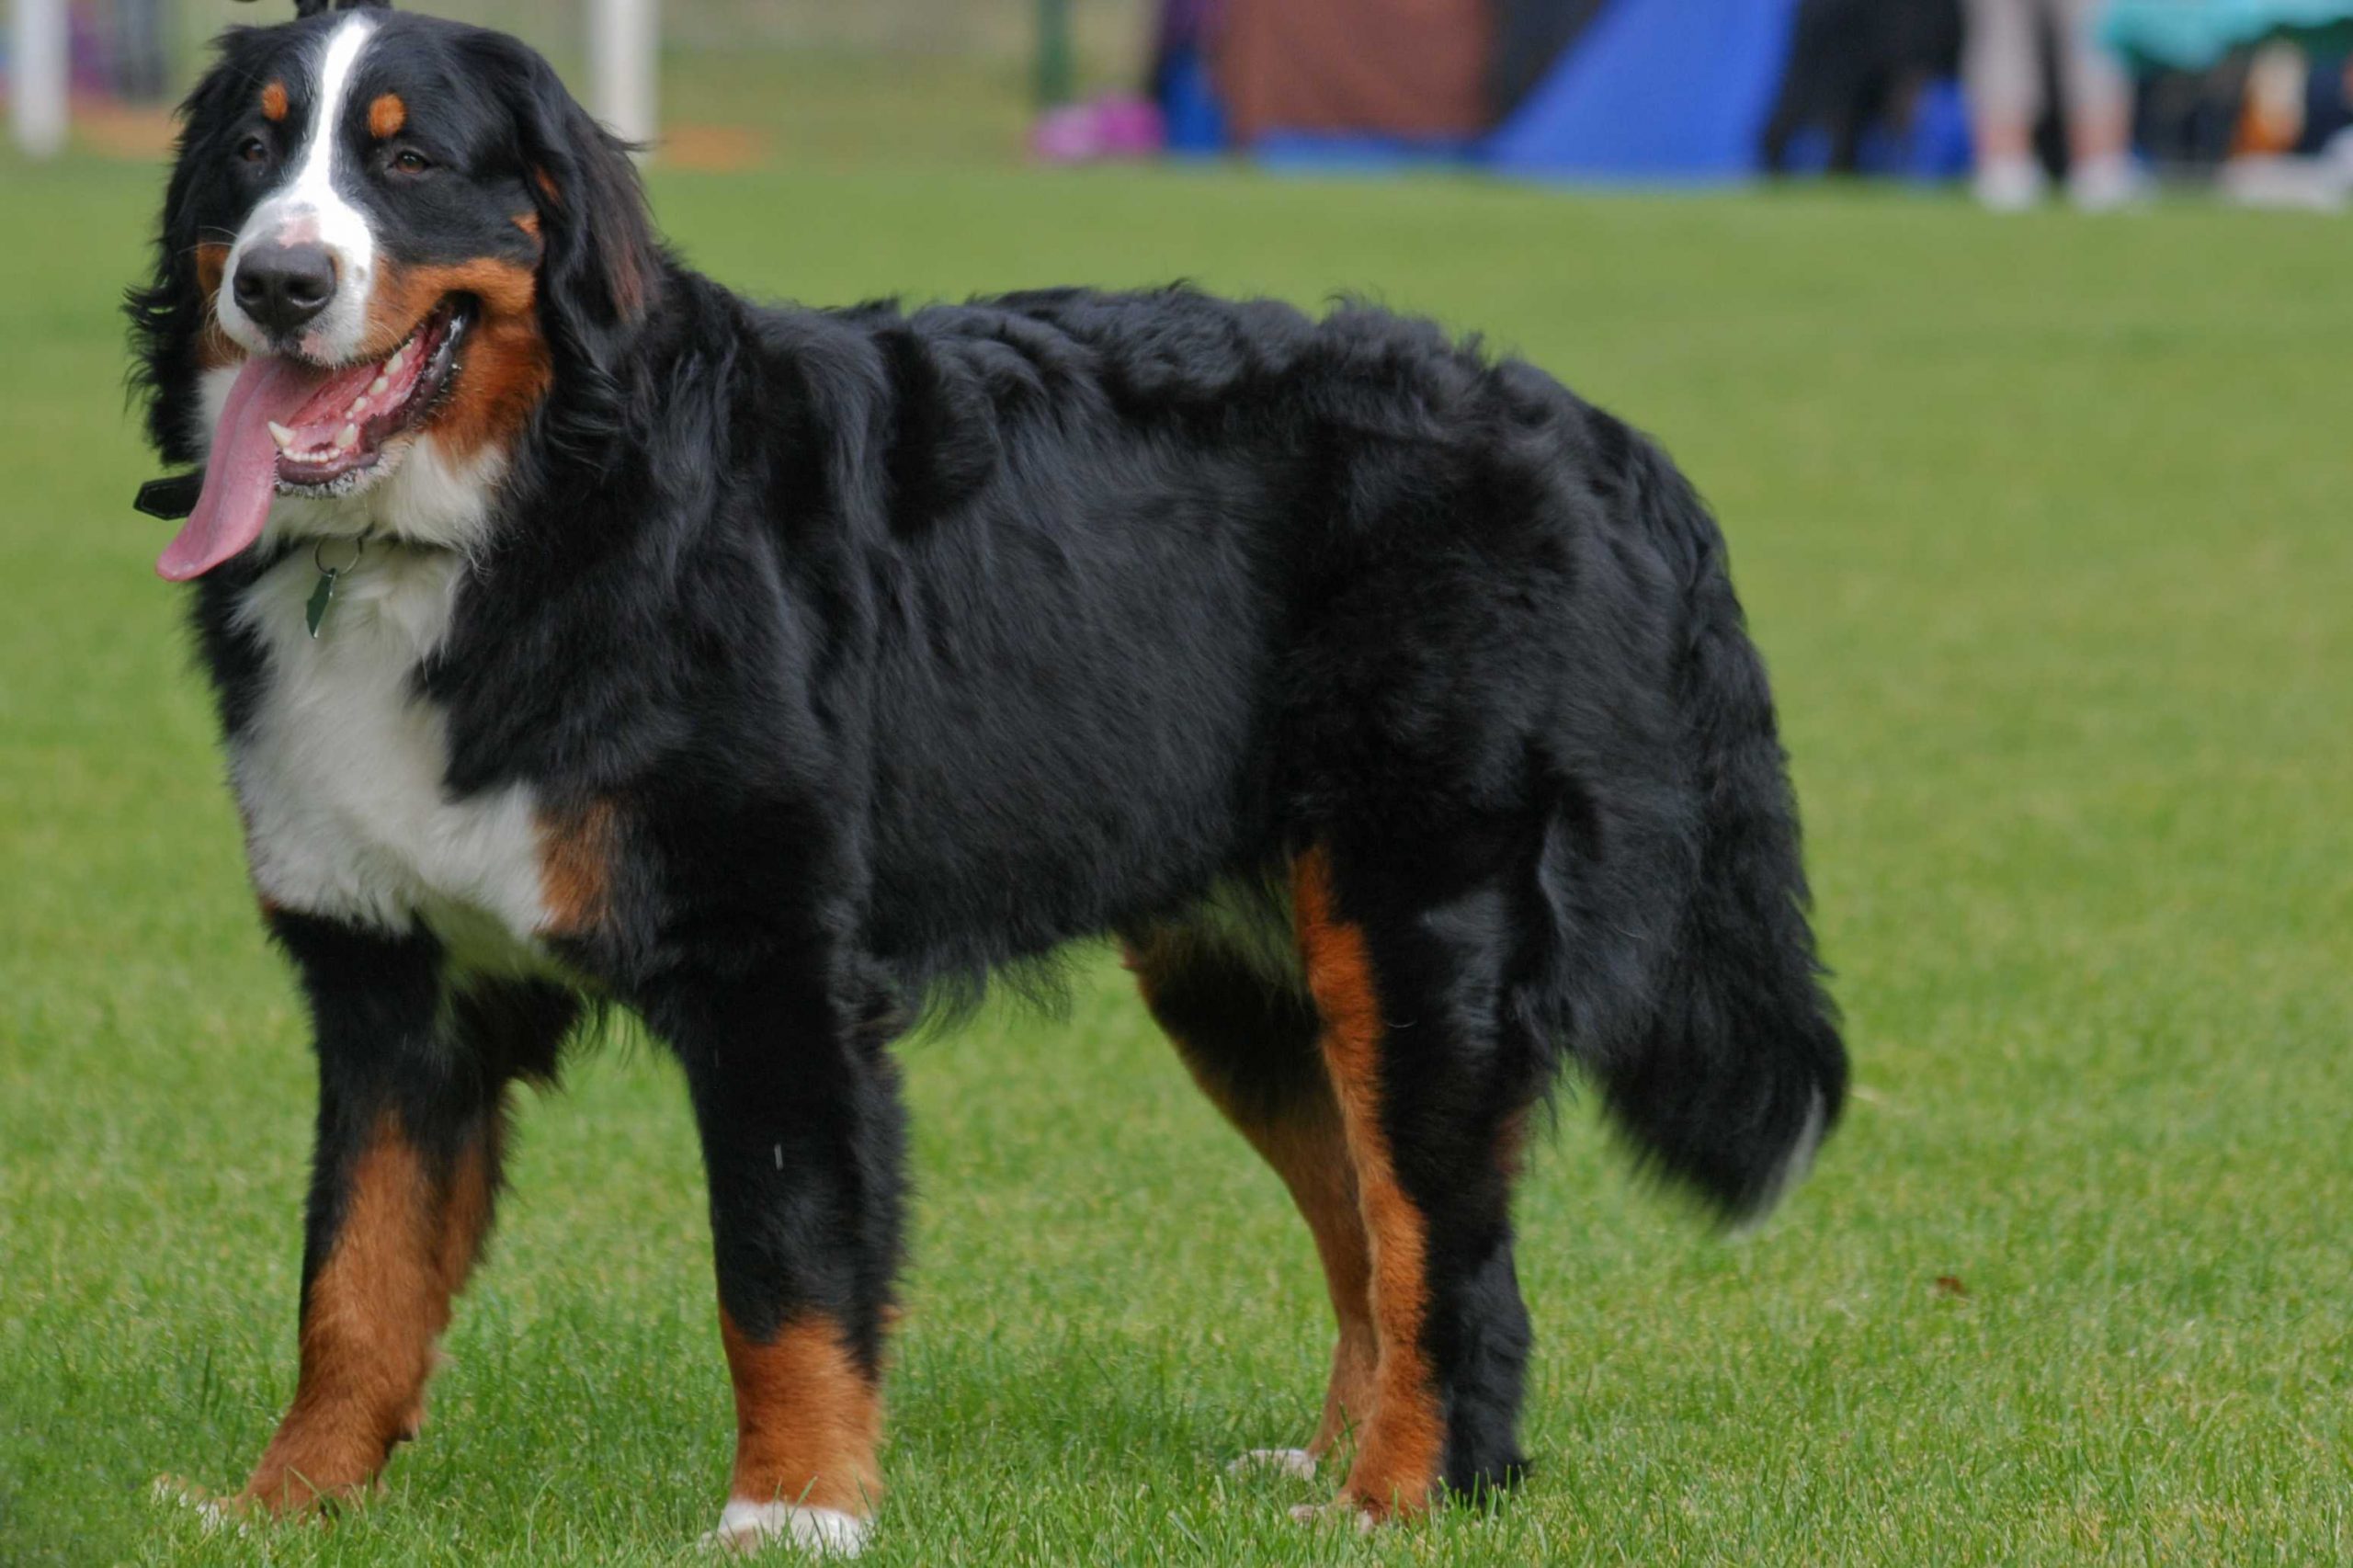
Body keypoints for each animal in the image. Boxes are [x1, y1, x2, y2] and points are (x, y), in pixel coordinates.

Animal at [129, 0, 1845, 1535]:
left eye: (408, 161)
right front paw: (283, 1503)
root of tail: (1573, 418)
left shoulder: (773, 969)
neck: (500, 520)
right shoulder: (390, 977)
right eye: (253, 155)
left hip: (1415, 925)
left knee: (1451, 1258)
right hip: (1249, 971)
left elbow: (784, 1269)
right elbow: (352, 1280)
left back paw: (1400, 1499)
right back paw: (1325, 1469)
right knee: (1370, 1224)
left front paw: (792, 1509)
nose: (282, 280)